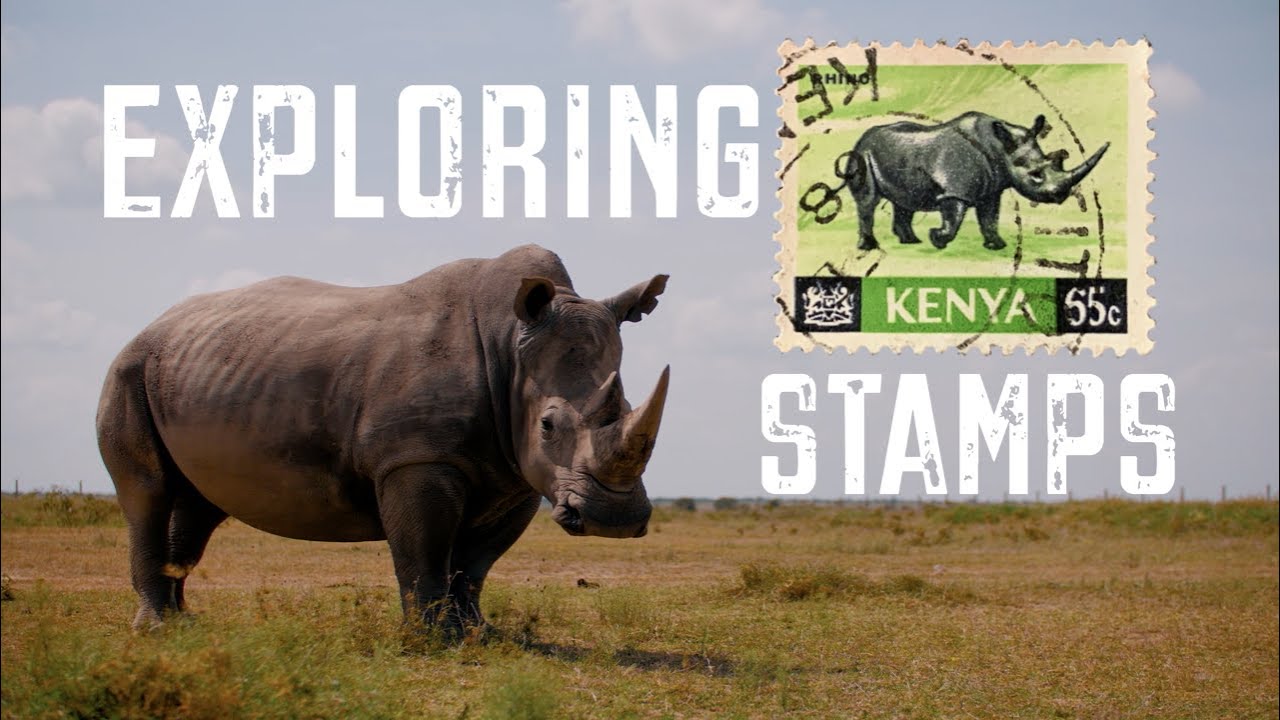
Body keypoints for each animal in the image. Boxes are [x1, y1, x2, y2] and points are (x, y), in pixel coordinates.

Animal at [95, 244, 670, 633]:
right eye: (548, 424)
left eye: (626, 408)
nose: (614, 521)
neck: (509, 345)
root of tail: (153, 324)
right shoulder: (414, 458)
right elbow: (425, 550)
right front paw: (433, 639)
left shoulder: (517, 474)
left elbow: (476, 563)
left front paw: (479, 633)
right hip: (128, 369)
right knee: (147, 492)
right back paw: (156, 630)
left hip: (194, 369)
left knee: (199, 504)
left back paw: (187, 623)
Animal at [844, 112, 1109, 251]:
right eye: (1036, 175)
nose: (1060, 196)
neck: (1001, 148)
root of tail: (862, 137)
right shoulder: (954, 190)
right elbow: (954, 219)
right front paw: (937, 239)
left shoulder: (992, 189)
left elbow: (989, 217)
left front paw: (997, 246)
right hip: (863, 154)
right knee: (868, 201)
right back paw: (869, 247)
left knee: (904, 201)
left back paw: (910, 242)